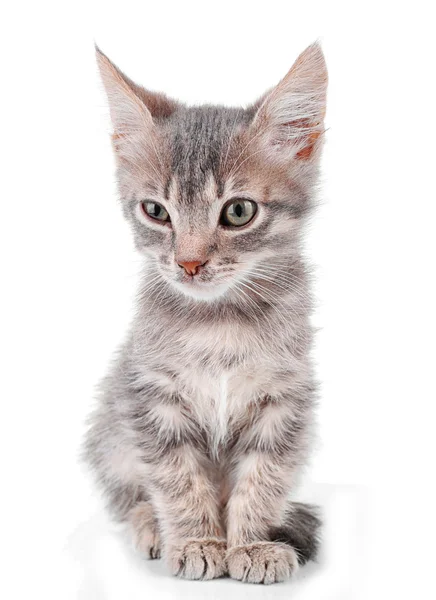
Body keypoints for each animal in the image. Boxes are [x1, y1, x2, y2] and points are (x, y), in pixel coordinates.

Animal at [84, 43, 328, 584]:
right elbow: (176, 477)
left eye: (238, 211)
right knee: (128, 493)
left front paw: (253, 543)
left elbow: (263, 477)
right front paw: (197, 539)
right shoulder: (151, 397)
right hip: (110, 431)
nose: (189, 263)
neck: (219, 322)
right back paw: (150, 524)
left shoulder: (284, 400)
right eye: (156, 211)